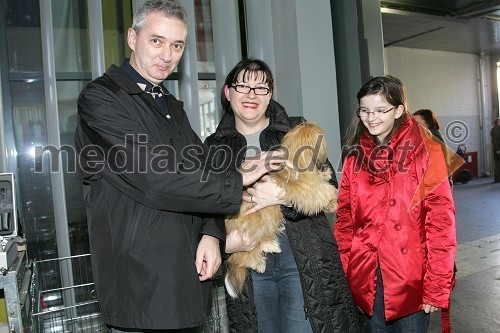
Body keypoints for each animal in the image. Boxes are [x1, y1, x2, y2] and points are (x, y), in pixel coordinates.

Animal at [225, 121, 338, 296]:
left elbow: (322, 183)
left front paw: (325, 175)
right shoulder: (306, 192)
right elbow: (323, 191)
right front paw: (332, 201)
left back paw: (270, 249)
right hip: (261, 220)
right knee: (248, 254)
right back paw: (262, 259)